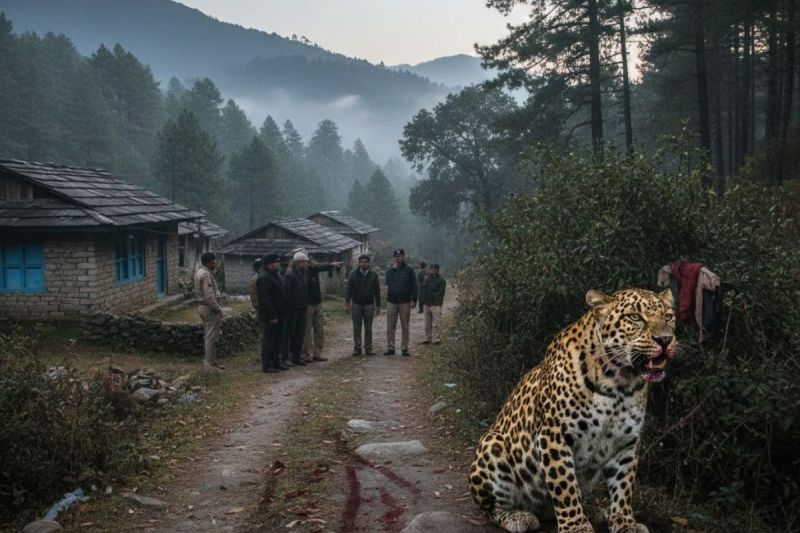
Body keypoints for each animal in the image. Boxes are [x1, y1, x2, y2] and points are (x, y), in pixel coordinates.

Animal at [469, 288, 677, 533]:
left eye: (668, 317)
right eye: (635, 317)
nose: (665, 339)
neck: (619, 383)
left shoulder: (626, 442)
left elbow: (624, 486)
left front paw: (625, 523)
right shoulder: (554, 435)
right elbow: (564, 486)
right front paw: (576, 526)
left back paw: (594, 511)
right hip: (491, 445)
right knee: (494, 509)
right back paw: (519, 517)